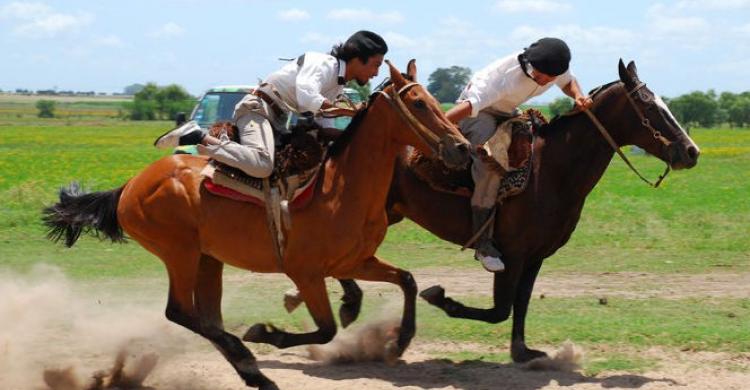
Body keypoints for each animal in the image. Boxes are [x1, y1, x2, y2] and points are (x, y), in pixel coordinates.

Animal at [42, 59, 470, 388]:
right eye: (418, 102)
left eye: (434, 98)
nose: (462, 147)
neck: (340, 186)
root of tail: (130, 186)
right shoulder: (306, 273)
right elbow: (327, 328)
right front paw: (267, 333)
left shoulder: (354, 261)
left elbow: (407, 280)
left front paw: (398, 342)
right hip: (179, 253)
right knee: (180, 313)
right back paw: (248, 357)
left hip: (207, 260)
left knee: (206, 318)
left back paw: (251, 371)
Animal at [332, 58, 704, 362]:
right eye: (649, 107)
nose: (690, 151)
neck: (550, 169)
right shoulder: (511, 254)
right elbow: (500, 309)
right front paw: (440, 299)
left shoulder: (535, 256)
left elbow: (520, 303)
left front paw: (522, 351)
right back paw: (352, 304)